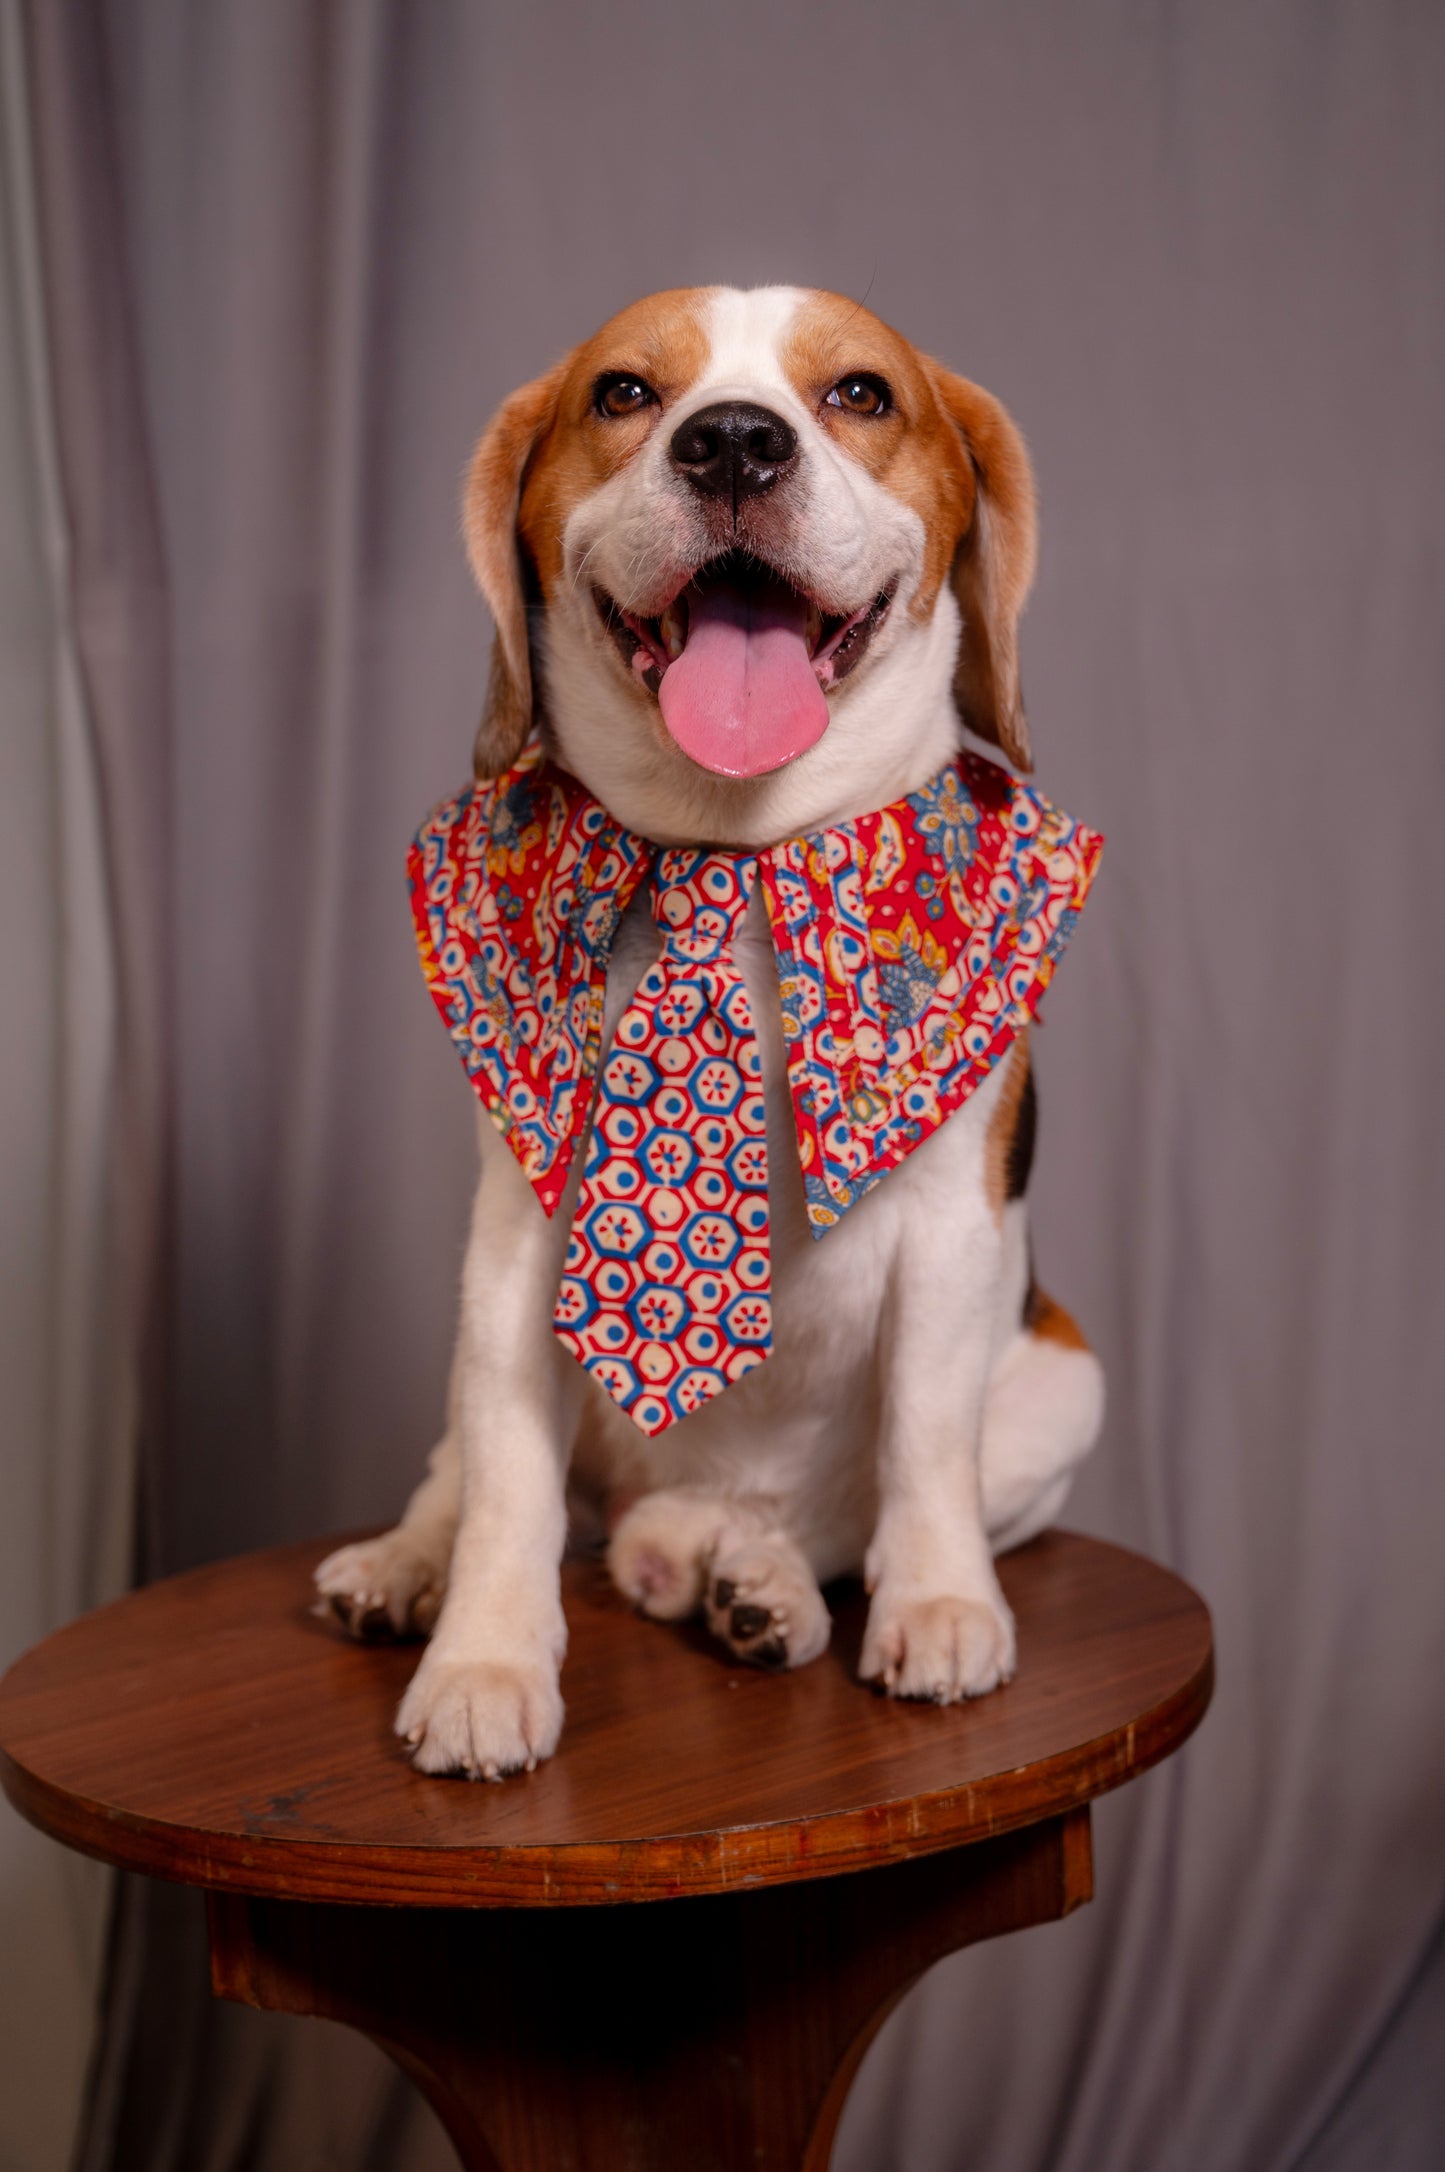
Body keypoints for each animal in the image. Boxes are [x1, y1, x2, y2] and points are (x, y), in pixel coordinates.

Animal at [319, 288, 1103, 1772]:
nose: (732, 441)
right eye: (624, 393)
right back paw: (415, 1563)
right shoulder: (520, 1242)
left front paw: (939, 1606)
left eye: (859, 393)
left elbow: (923, 1440)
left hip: (1057, 1386)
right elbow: (506, 1475)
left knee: (811, 1520)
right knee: (480, 1477)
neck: (732, 850)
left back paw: (752, 1581)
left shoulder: (955, 1230)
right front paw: (485, 1662)